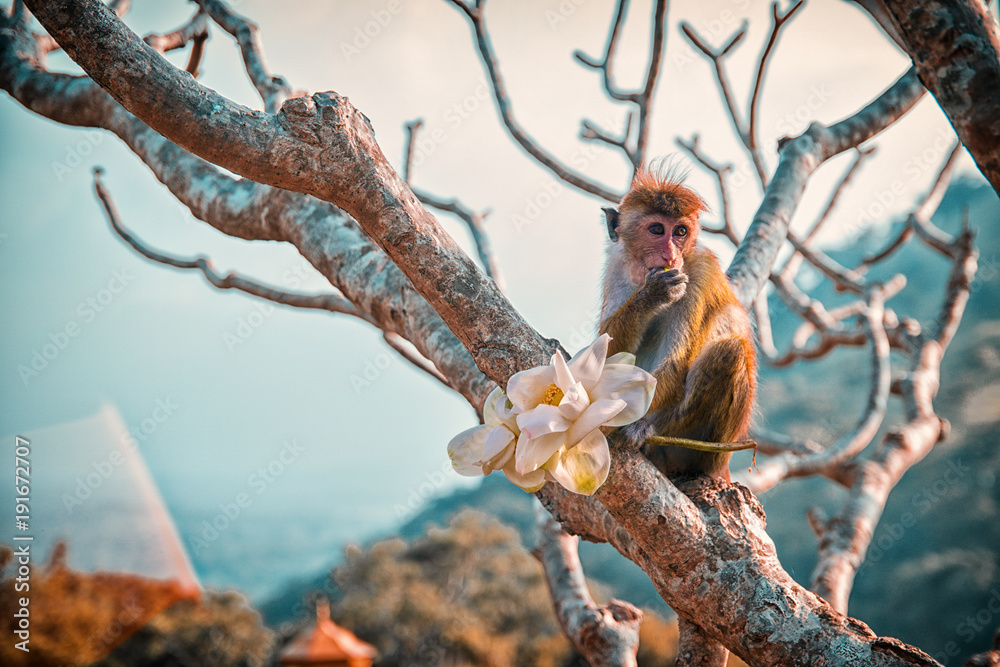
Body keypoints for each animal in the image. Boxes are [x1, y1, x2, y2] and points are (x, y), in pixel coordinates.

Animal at [598, 168, 757, 482]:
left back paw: (650, 431)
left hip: (709, 450)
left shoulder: (699, 275)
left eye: (680, 232)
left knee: (730, 350)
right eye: (657, 229)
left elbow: (675, 364)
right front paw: (651, 295)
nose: (671, 256)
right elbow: (606, 356)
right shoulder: (617, 267)